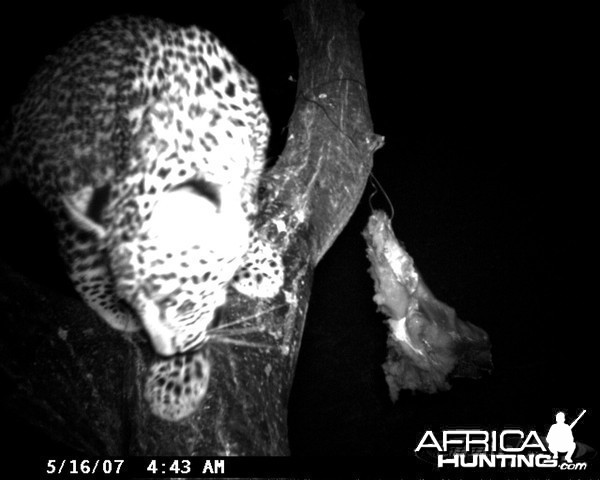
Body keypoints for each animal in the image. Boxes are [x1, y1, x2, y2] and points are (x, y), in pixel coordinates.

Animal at [2, 15, 284, 420]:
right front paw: (177, 377)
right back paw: (107, 302)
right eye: (140, 303)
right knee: (79, 260)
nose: (167, 351)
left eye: (182, 304)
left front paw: (258, 263)